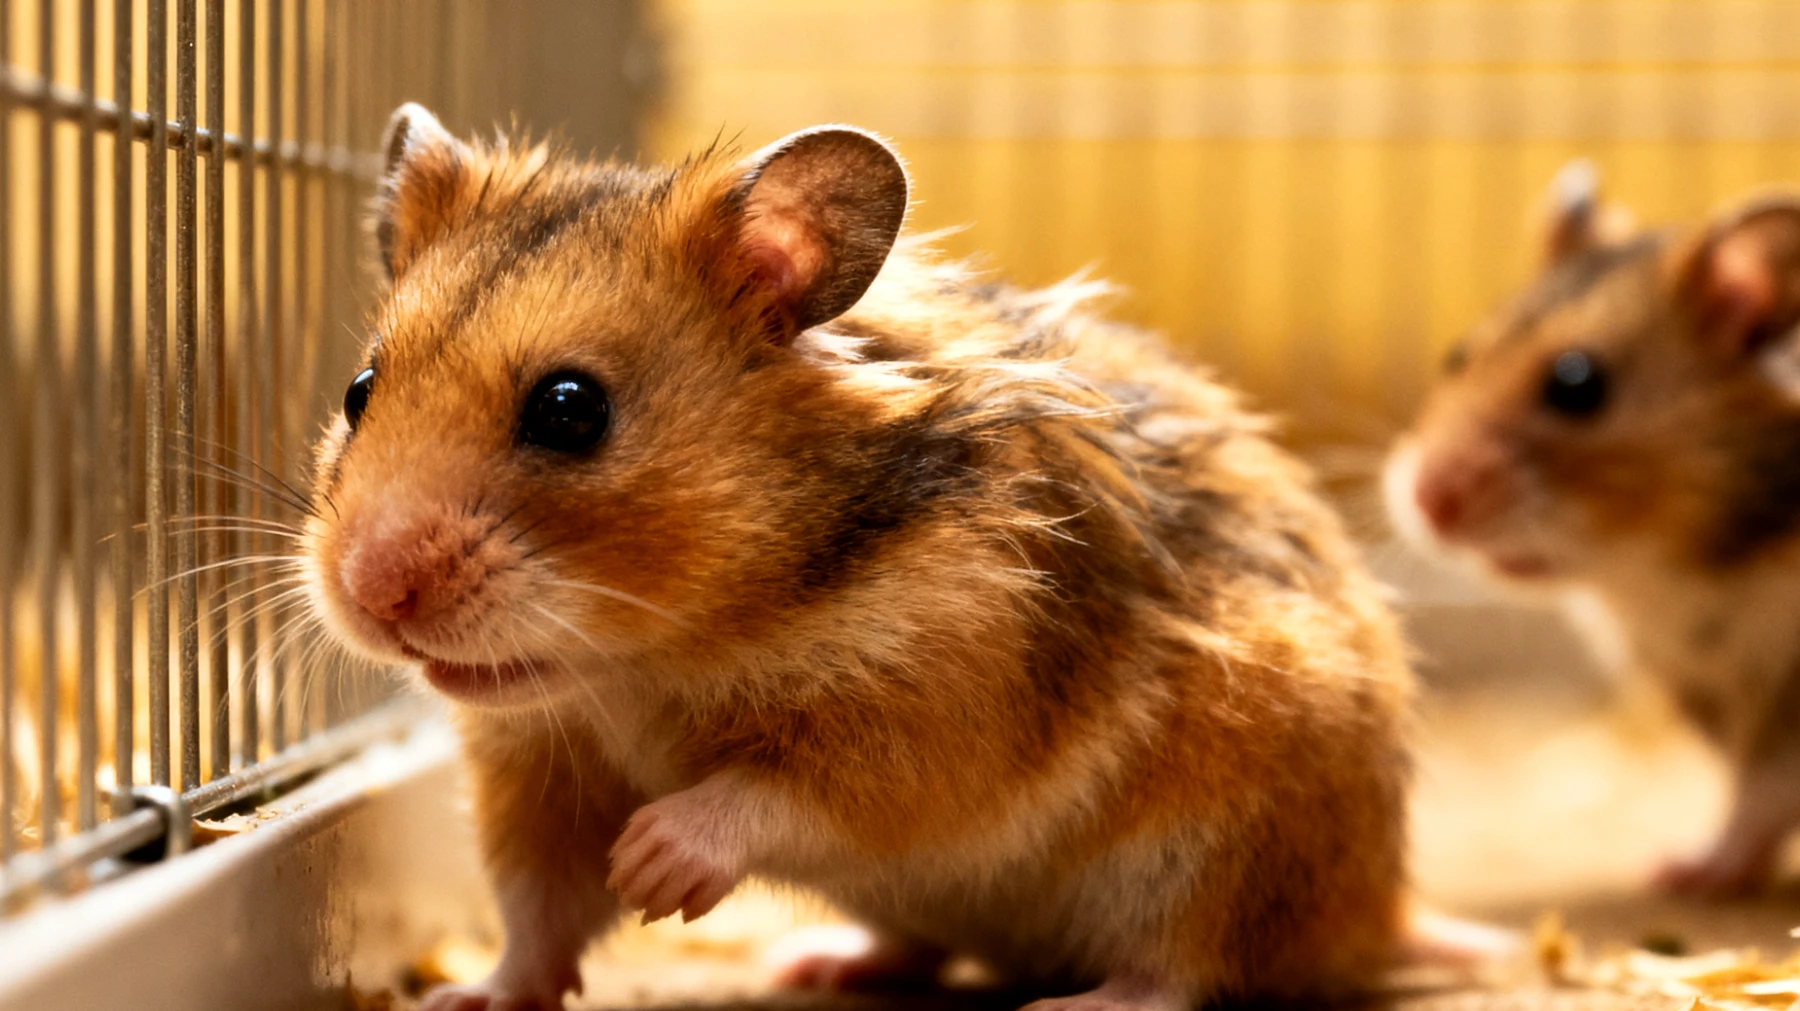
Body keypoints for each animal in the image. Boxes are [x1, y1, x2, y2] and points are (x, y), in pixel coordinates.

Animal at [302, 104, 1417, 1011]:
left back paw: (1080, 1002)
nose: (372, 593)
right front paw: (473, 995)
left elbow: (777, 796)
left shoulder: (932, 713)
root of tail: (1382, 917)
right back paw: (823, 962)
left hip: (1237, 828)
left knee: (1193, 967)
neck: (644, 664)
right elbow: (537, 909)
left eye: (571, 409)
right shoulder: (537, 773)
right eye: (359, 390)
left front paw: (653, 868)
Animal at [1387, 162, 1800, 898]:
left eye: (1577, 384)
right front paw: (1675, 870)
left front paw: (1688, 874)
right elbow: (1754, 796)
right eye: (1458, 355)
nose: (1427, 501)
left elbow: (1765, 794)